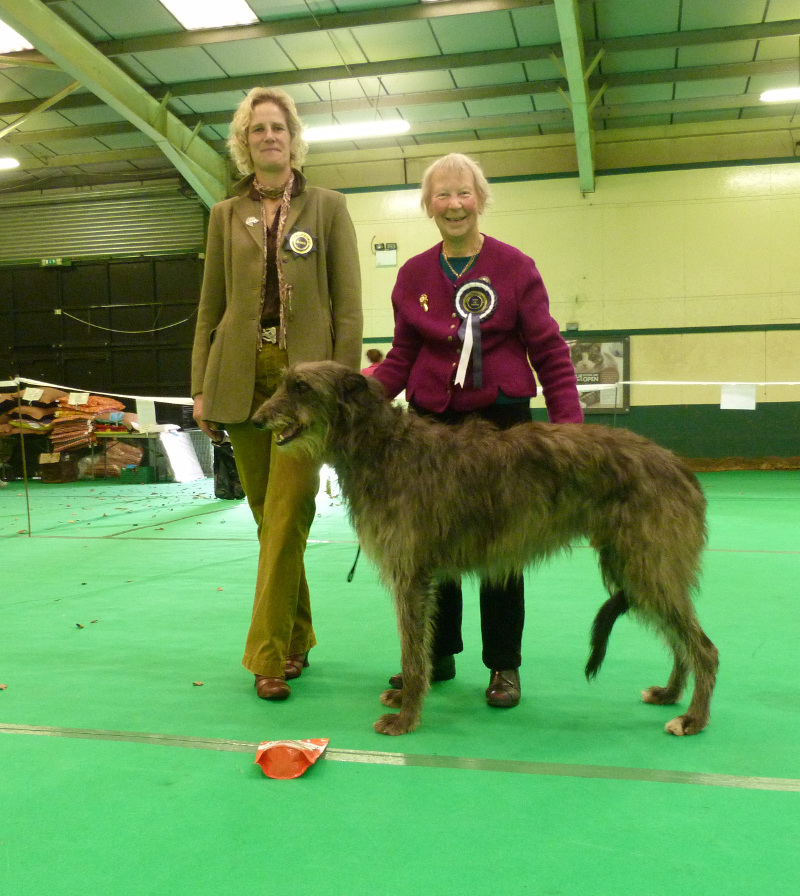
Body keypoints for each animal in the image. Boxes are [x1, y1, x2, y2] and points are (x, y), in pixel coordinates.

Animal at [256, 360, 720, 740]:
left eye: (301, 387)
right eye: (283, 382)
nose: (257, 420)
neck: (381, 446)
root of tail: (680, 467)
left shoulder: (410, 576)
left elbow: (412, 651)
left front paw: (406, 718)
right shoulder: (423, 576)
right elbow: (420, 648)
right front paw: (407, 697)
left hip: (647, 563)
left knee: (704, 648)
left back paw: (692, 718)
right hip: (636, 566)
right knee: (681, 639)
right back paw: (670, 693)